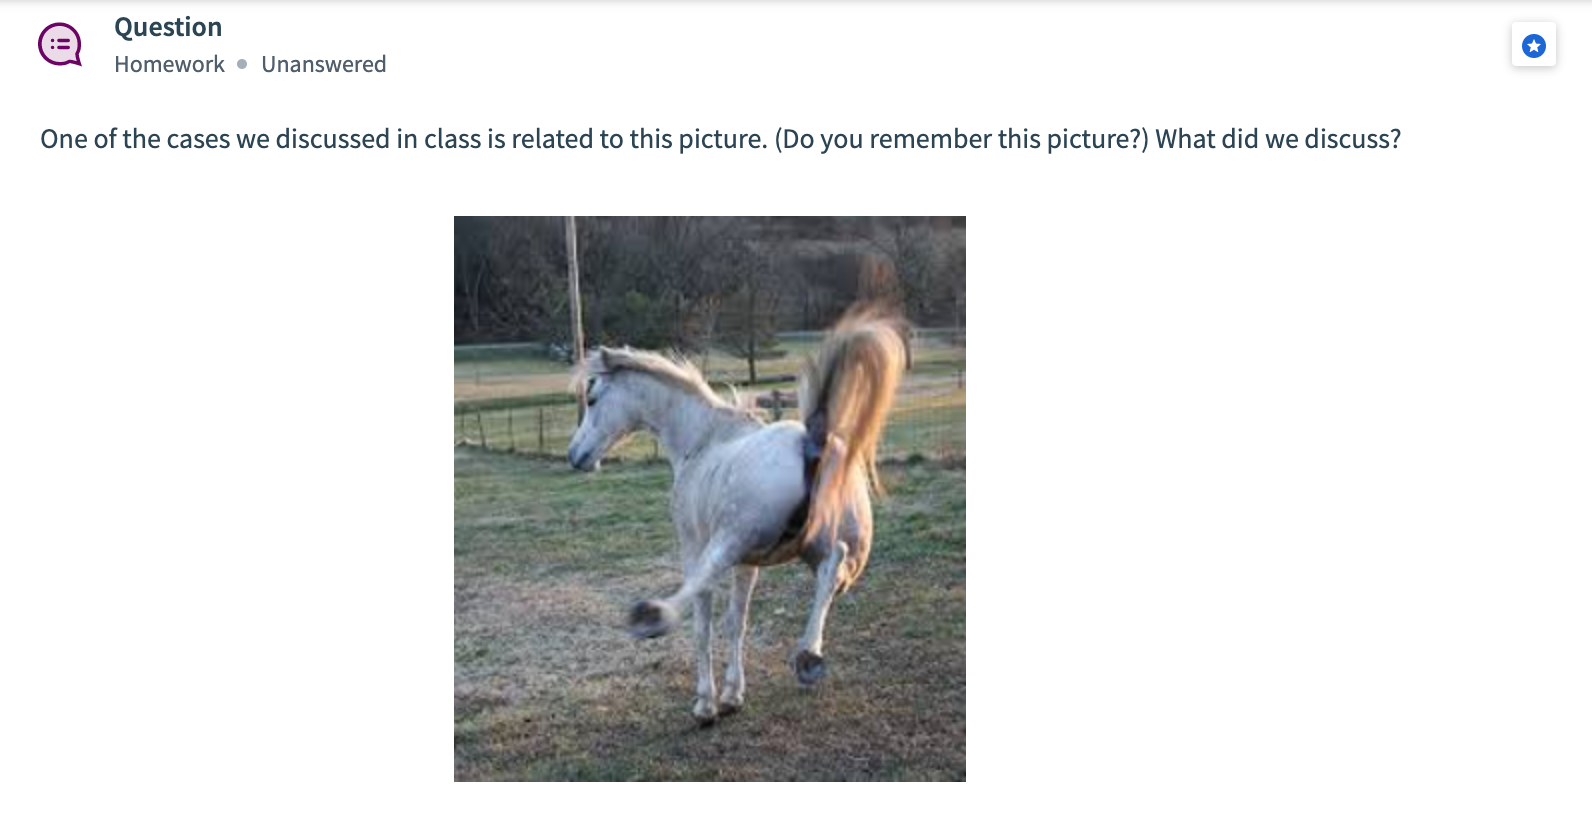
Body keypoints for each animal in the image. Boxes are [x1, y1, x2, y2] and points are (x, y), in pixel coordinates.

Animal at [566, 307, 906, 723]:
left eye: (592, 398)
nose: (575, 455)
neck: (702, 439)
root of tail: (814, 442)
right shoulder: (750, 563)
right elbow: (737, 622)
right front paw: (732, 694)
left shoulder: (696, 547)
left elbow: (704, 622)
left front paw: (707, 702)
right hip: (832, 550)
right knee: (833, 568)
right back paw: (808, 656)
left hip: (729, 541)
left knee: (703, 587)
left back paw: (653, 616)